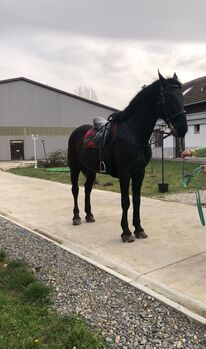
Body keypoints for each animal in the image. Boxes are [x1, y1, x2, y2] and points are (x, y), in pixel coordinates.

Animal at [68, 72, 187, 242]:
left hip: (90, 170)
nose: (183, 128)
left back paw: (89, 215)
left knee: (88, 190)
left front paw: (139, 229)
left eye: (181, 96)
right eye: (167, 97)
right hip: (74, 167)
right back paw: (76, 217)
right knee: (76, 190)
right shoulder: (124, 173)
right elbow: (125, 201)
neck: (134, 134)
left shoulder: (139, 173)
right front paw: (126, 232)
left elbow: (137, 200)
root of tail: (76, 131)